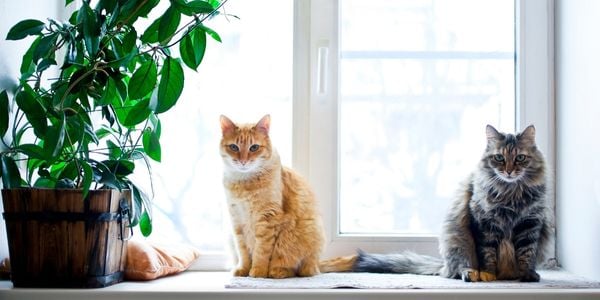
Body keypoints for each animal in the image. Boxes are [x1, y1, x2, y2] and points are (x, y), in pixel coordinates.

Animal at [219, 113, 324, 278]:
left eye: (254, 147)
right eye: (234, 147)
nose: (243, 161)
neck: (244, 183)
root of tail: (317, 264)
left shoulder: (267, 219)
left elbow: (261, 251)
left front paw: (258, 271)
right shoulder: (237, 220)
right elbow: (243, 252)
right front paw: (243, 270)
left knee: (298, 269)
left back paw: (278, 272)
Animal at [322, 123, 556, 282]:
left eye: (520, 158)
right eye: (499, 158)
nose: (508, 171)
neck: (511, 193)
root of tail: (443, 265)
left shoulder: (530, 223)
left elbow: (526, 253)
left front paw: (527, 274)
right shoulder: (484, 222)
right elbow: (487, 254)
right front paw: (488, 274)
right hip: (457, 239)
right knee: (459, 267)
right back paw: (472, 274)